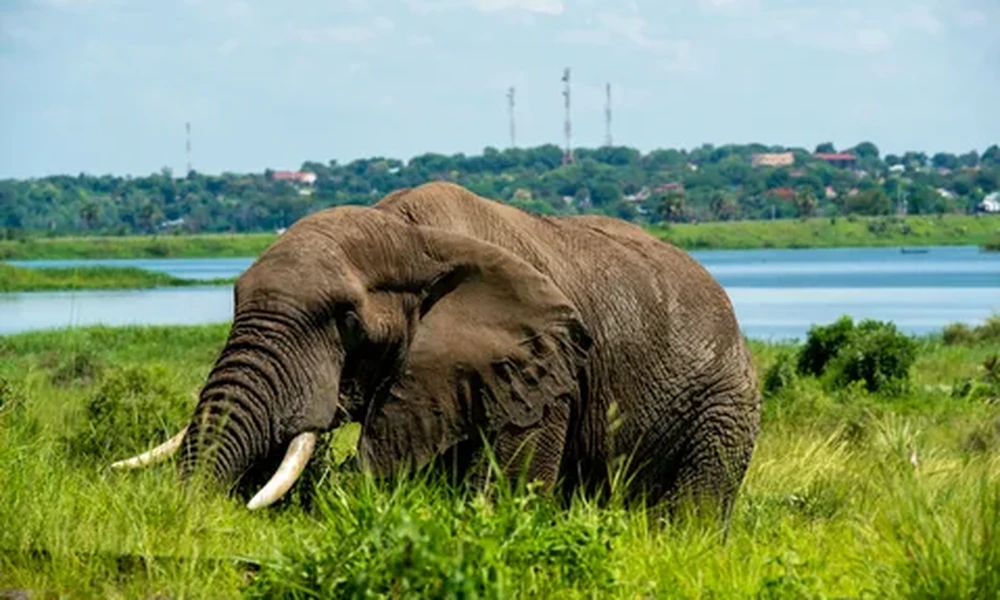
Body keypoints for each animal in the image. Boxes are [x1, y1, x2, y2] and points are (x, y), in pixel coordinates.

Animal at [112, 181, 761, 519]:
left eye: (347, 319)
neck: (410, 235)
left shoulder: (540, 373)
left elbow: (499, 496)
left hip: (725, 407)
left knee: (695, 514)